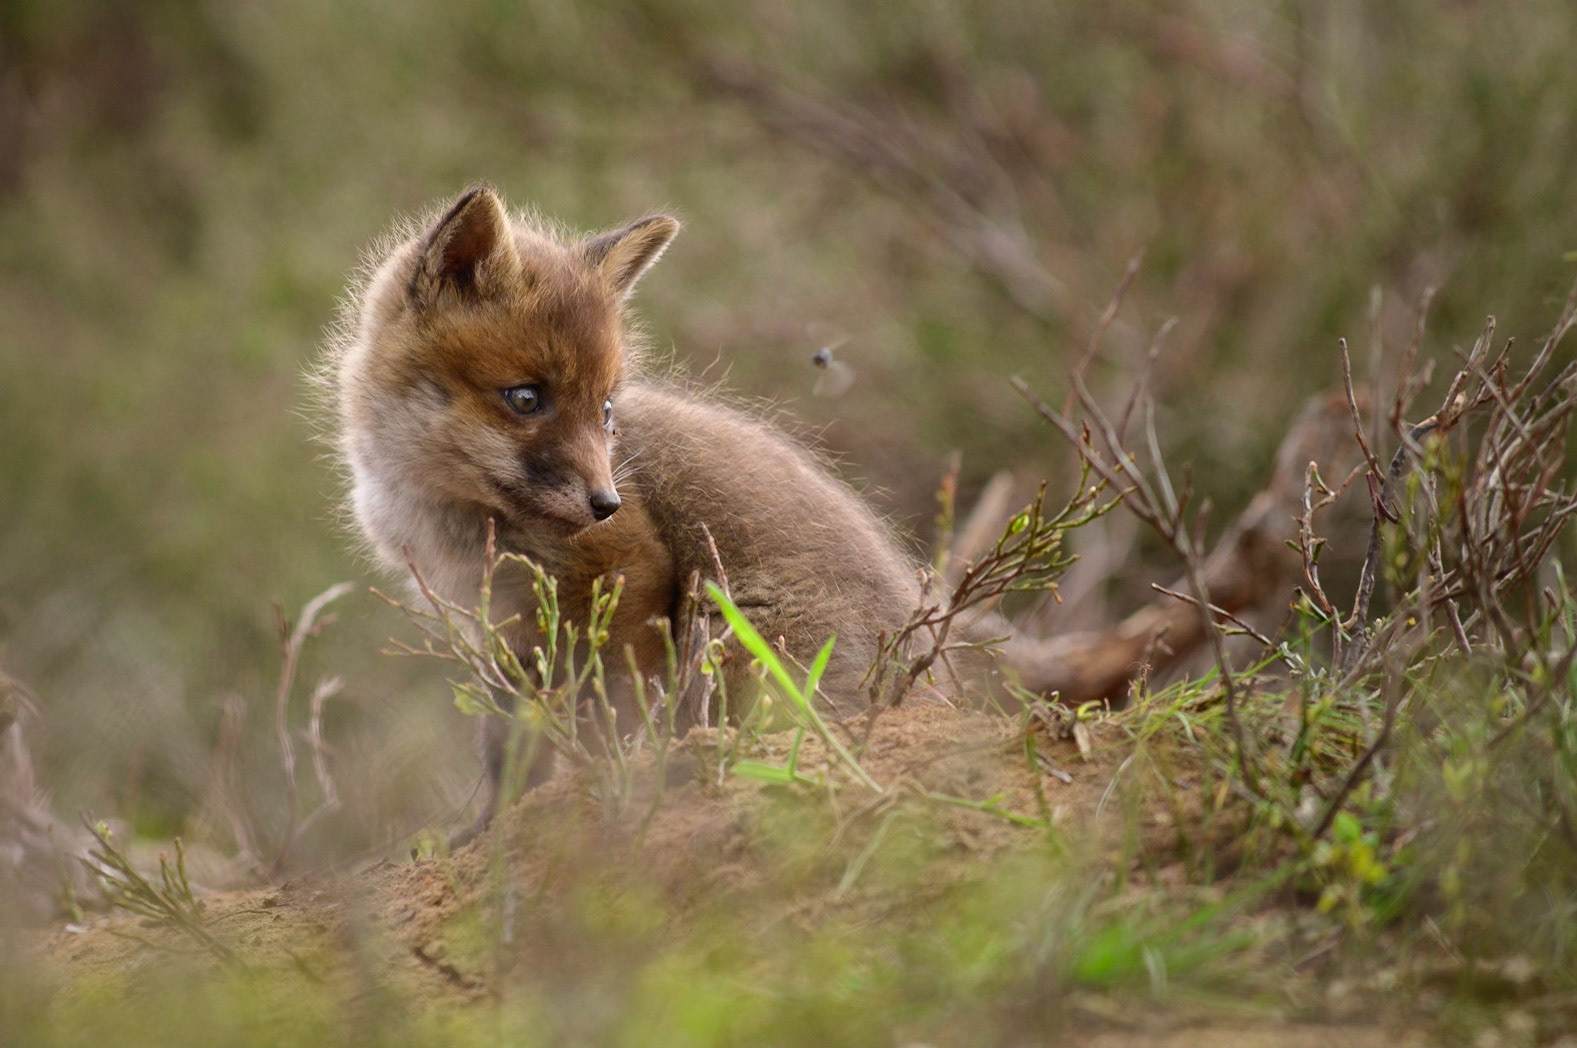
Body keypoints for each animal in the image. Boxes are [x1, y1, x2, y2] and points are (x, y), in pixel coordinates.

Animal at [325, 185, 938, 836]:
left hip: (725, 629)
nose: (607, 505)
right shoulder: (501, 628)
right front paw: (495, 822)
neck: (455, 513)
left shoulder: (630, 573)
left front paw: (617, 783)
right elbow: (507, 745)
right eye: (526, 398)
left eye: (606, 409)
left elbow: (617, 711)